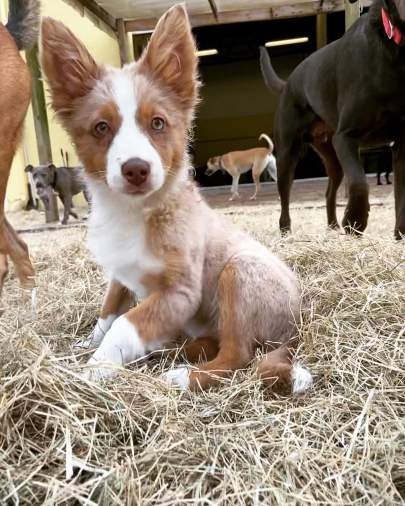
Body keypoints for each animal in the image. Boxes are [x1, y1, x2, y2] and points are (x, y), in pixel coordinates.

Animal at [41, 3, 310, 394]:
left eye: (157, 123)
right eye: (101, 128)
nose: (136, 169)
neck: (136, 213)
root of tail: (297, 324)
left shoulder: (179, 294)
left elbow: (124, 325)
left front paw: (92, 371)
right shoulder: (120, 274)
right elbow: (107, 313)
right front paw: (88, 344)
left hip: (240, 274)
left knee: (237, 355)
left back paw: (182, 376)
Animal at [260, 0, 404, 239]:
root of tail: (287, 83)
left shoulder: (402, 144)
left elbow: (401, 196)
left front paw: (400, 235)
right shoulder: (345, 137)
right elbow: (359, 183)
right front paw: (354, 222)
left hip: (333, 159)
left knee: (329, 192)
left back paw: (333, 226)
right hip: (288, 154)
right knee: (284, 199)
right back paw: (286, 232)